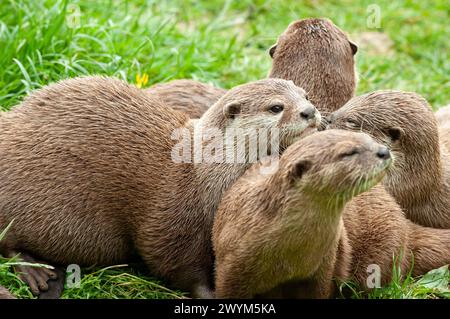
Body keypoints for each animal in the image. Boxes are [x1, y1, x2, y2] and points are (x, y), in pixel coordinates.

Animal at [0, 76, 320, 298]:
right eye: (276, 107)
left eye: (306, 95)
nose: (310, 111)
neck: (206, 174)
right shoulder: (175, 214)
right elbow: (172, 259)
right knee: (8, 240)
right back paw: (35, 272)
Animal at [213, 130, 450, 300]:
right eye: (349, 153)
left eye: (369, 138)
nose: (384, 151)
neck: (289, 256)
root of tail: (402, 219)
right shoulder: (230, 266)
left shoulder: (324, 265)